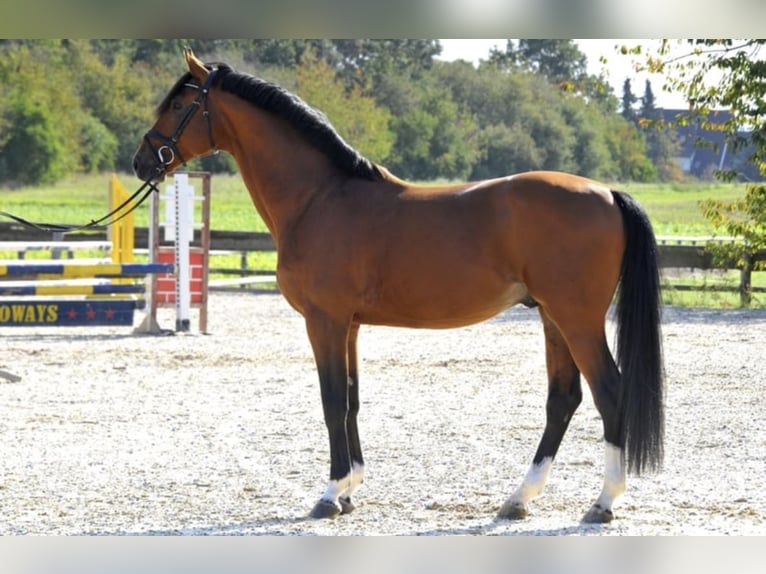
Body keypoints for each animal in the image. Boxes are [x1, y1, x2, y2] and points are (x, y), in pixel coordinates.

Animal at [134, 50, 664, 528]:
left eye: (178, 105)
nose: (142, 162)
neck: (319, 198)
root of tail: (607, 193)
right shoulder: (348, 326)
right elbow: (350, 399)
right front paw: (350, 490)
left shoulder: (324, 321)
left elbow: (331, 401)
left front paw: (329, 495)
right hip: (553, 317)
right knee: (563, 399)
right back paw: (519, 499)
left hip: (577, 320)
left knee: (609, 392)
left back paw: (602, 503)